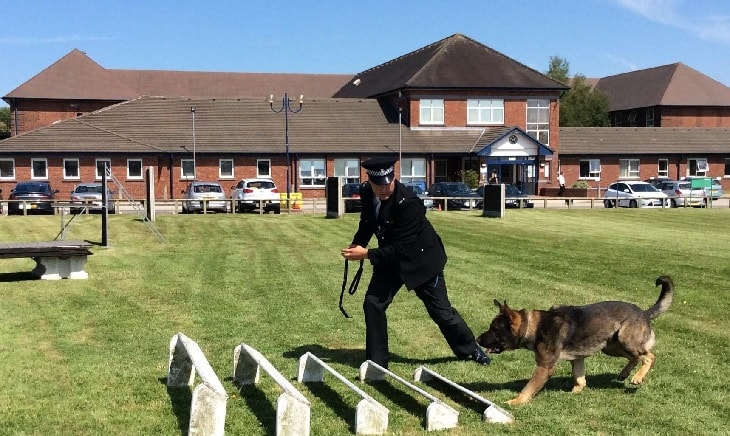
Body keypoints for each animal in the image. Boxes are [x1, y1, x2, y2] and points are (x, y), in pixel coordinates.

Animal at [474, 278, 672, 404]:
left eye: (494, 329)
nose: (477, 338)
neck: (533, 327)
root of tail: (644, 313)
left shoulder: (545, 367)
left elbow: (528, 388)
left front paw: (516, 401)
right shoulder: (577, 359)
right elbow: (579, 379)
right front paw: (576, 392)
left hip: (625, 340)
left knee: (649, 356)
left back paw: (638, 377)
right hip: (610, 346)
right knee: (636, 357)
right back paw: (624, 374)